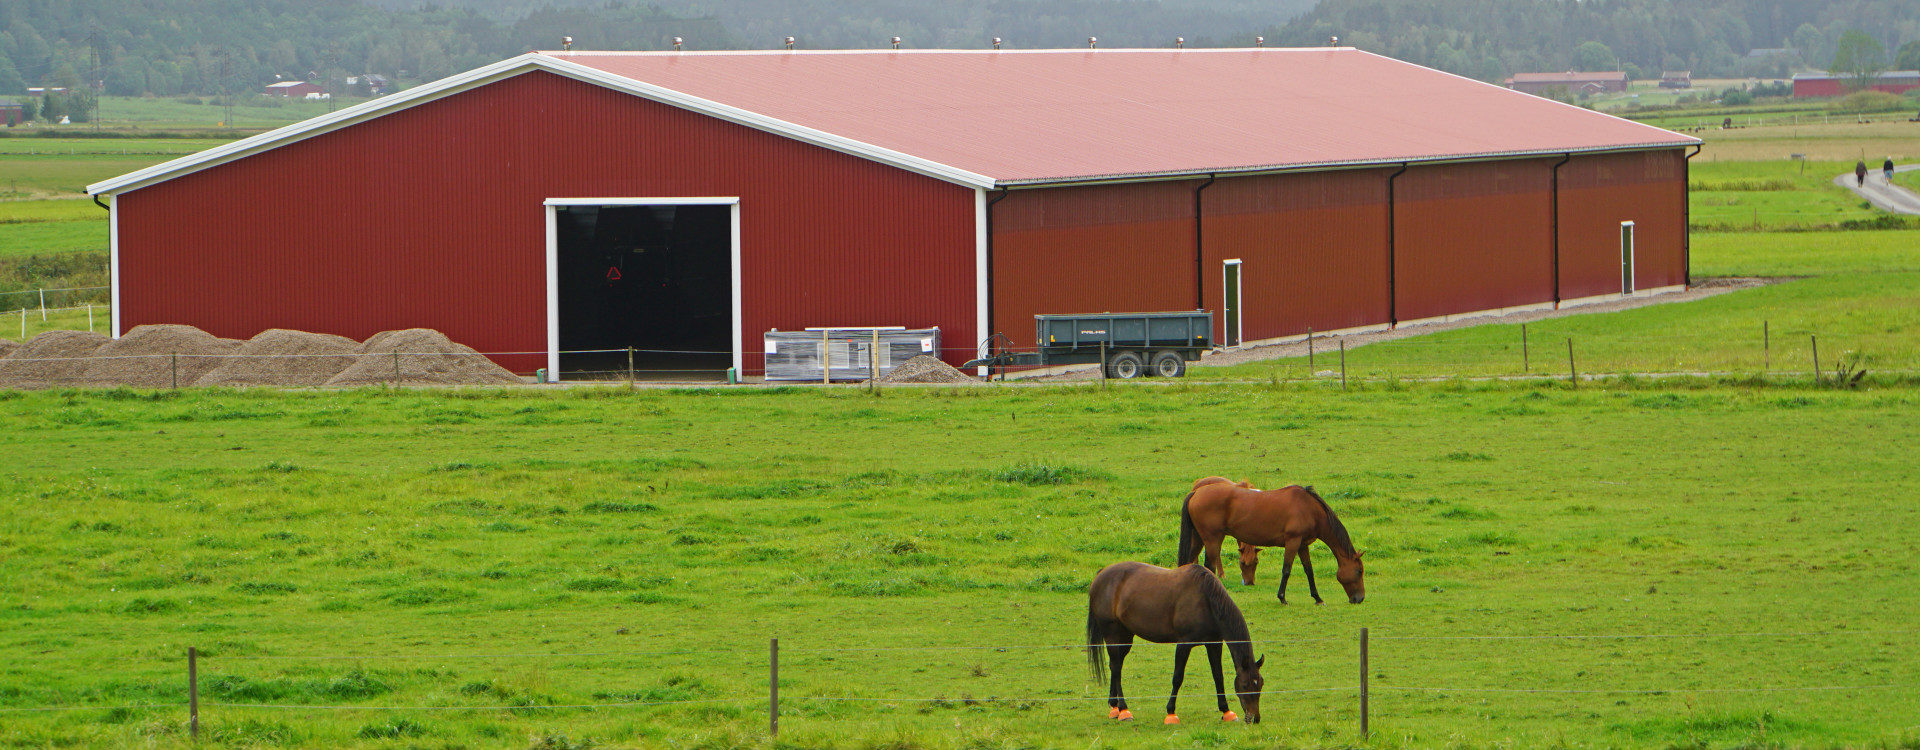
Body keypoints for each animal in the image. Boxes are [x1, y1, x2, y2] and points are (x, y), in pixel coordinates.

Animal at [1090, 560, 1267, 725]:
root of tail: (1101, 574)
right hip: (1112, 634)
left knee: (1115, 665)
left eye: (1260, 684)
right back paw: (1124, 709)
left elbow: (1218, 676)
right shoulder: (1184, 644)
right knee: (1116, 668)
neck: (1205, 599)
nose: (1254, 718)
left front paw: (1226, 711)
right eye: (1245, 685)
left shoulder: (1214, 644)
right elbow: (1177, 677)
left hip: (1125, 637)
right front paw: (1171, 712)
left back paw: (1114, 707)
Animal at [1167, 485, 1367, 606]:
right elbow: (1286, 570)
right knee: (1209, 567)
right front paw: (1282, 598)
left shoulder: (1302, 545)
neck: (1309, 508)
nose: (1359, 599)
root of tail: (1197, 492)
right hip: (1212, 539)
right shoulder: (1292, 542)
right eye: (1359, 571)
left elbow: (1309, 571)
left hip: (1199, 539)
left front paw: (1317, 598)